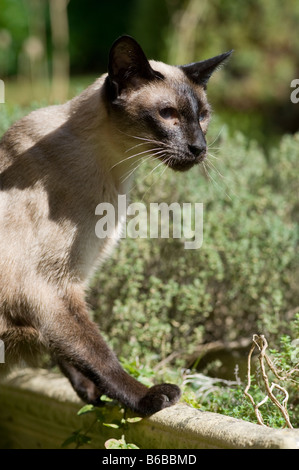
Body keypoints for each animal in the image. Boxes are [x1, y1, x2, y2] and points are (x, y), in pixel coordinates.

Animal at [0, 35, 232, 414]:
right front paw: (146, 398)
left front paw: (91, 395)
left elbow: (68, 352)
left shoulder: (65, 289)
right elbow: (97, 352)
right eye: (168, 114)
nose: (199, 147)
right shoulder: (48, 288)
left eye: (203, 116)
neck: (118, 171)